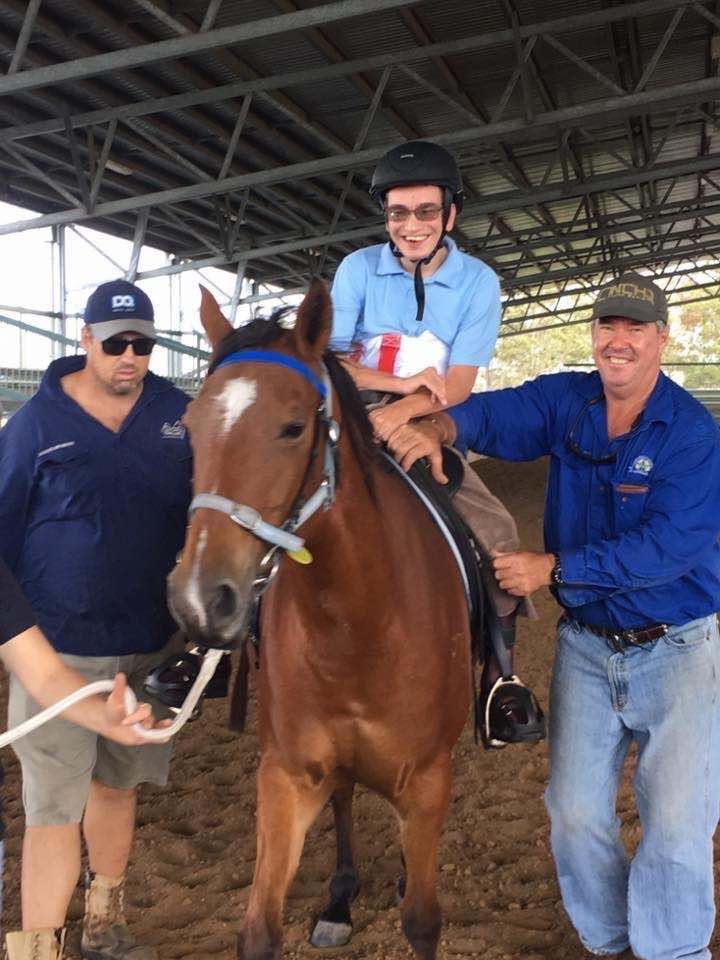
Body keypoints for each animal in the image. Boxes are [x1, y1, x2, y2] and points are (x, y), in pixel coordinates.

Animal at [168, 281, 473, 960]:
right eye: (191, 429)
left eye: (292, 427)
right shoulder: (285, 777)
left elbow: (423, 918)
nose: (201, 599)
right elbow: (258, 928)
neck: (357, 623)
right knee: (345, 797)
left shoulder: (427, 782)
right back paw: (339, 898)